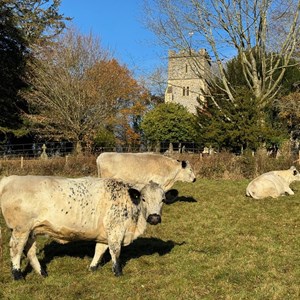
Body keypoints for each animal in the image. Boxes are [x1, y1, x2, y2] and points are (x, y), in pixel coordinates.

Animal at [0, 175, 178, 280]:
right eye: (143, 198)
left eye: (163, 199)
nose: (154, 217)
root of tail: (10, 178)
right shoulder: (115, 230)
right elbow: (115, 251)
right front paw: (118, 272)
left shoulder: (104, 233)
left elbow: (100, 249)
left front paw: (92, 267)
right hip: (21, 229)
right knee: (16, 249)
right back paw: (17, 275)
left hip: (31, 230)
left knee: (29, 250)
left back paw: (42, 273)